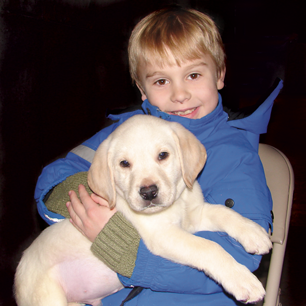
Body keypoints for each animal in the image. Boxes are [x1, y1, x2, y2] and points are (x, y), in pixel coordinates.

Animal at [14, 115, 272, 306]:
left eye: (163, 155)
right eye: (124, 164)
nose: (148, 192)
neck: (177, 205)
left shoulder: (196, 215)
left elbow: (224, 213)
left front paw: (254, 233)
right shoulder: (163, 235)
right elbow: (209, 247)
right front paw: (243, 280)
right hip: (48, 298)